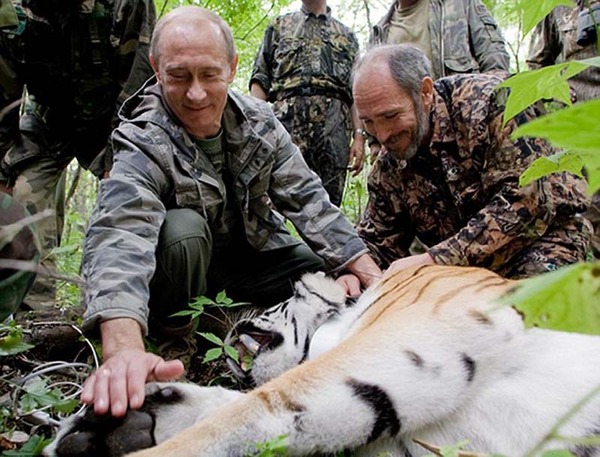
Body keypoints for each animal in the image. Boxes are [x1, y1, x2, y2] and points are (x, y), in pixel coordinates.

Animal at [44, 264, 600, 456]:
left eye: (270, 303)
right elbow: (243, 411)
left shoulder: (412, 331)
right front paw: (116, 422)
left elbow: (253, 407)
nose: (234, 325)